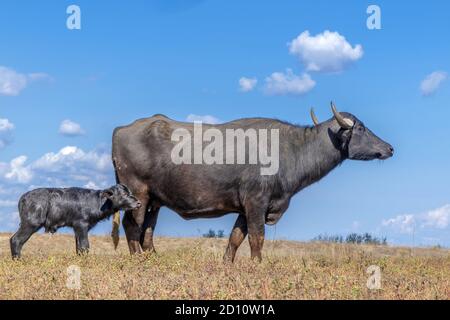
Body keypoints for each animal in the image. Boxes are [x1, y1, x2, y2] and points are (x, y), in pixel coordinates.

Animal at [11, 185, 141, 258]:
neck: (99, 202)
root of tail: (23, 198)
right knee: (16, 240)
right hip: (31, 224)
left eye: (131, 192)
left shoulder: (77, 229)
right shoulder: (81, 225)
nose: (139, 203)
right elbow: (84, 246)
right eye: (124, 194)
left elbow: (78, 247)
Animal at [111, 103, 394, 262]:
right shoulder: (257, 203)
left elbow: (235, 239)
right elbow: (257, 239)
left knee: (147, 231)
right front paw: (257, 265)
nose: (389, 148)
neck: (291, 149)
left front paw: (227, 264)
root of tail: (121, 129)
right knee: (131, 226)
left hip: (155, 201)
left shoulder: (245, 208)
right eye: (360, 129)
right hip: (137, 194)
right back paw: (138, 260)